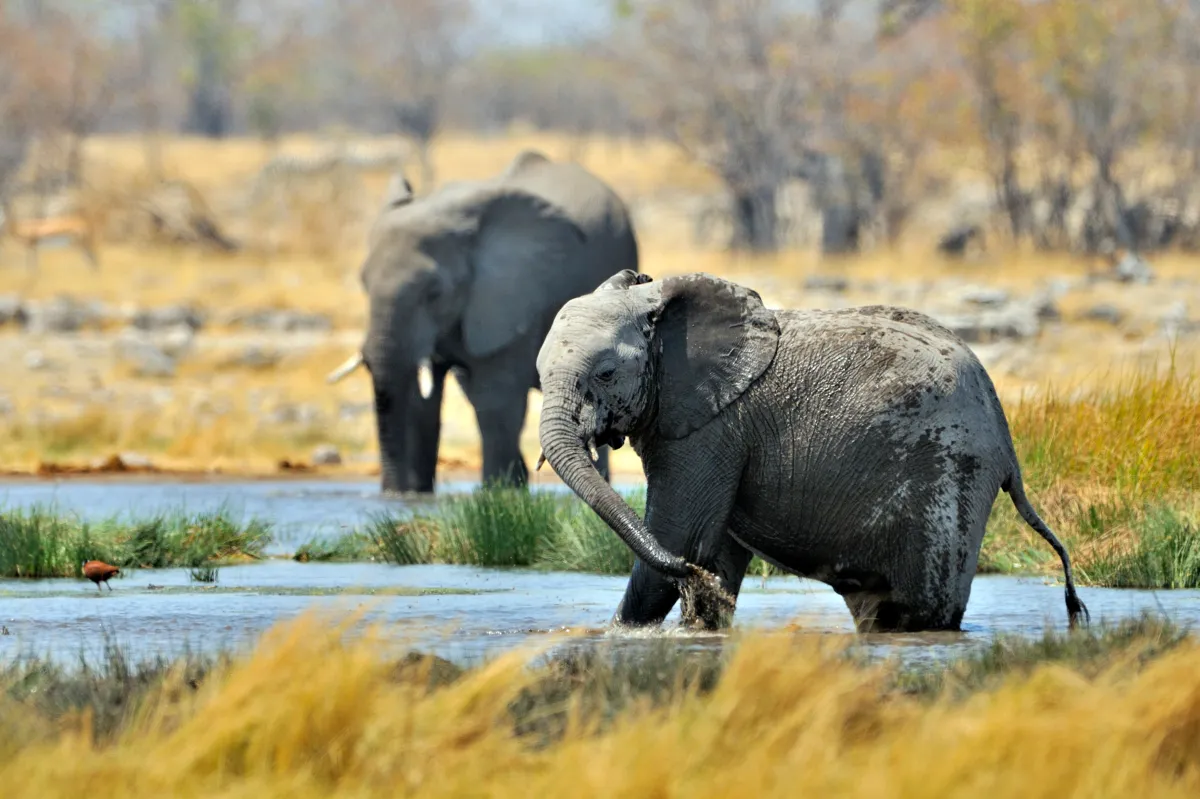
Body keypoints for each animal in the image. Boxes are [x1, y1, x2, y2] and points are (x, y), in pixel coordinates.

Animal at [324, 149, 633, 491]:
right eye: (364, 283)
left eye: (434, 292)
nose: (393, 492)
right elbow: (425, 397)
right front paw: (419, 497)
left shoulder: (514, 298)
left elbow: (493, 398)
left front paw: (498, 492)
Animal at [535, 271, 1089, 633]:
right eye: (539, 374)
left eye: (606, 374)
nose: (696, 580)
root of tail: (1005, 435)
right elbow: (718, 547)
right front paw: (704, 615)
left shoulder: (711, 427)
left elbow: (680, 535)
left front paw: (622, 635)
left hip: (951, 475)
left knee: (920, 609)